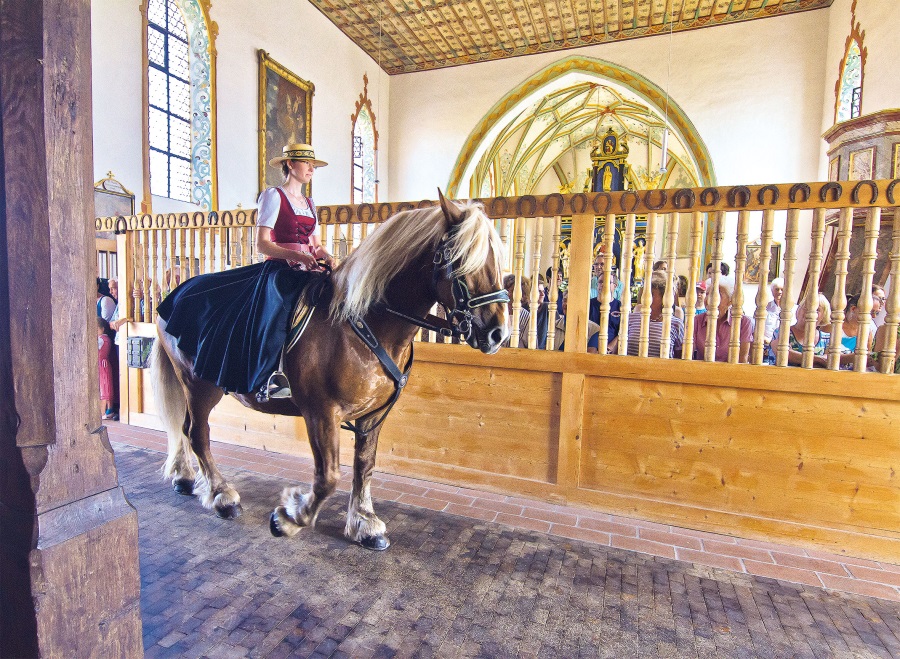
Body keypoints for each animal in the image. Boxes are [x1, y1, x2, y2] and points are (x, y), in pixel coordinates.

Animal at [151, 195, 510, 552]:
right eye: (461, 259)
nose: (497, 334)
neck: (365, 323)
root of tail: (175, 294)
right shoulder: (321, 412)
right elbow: (328, 477)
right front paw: (290, 517)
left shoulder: (372, 415)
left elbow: (364, 467)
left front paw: (365, 523)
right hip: (198, 385)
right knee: (198, 434)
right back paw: (222, 496)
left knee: (185, 429)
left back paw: (186, 480)